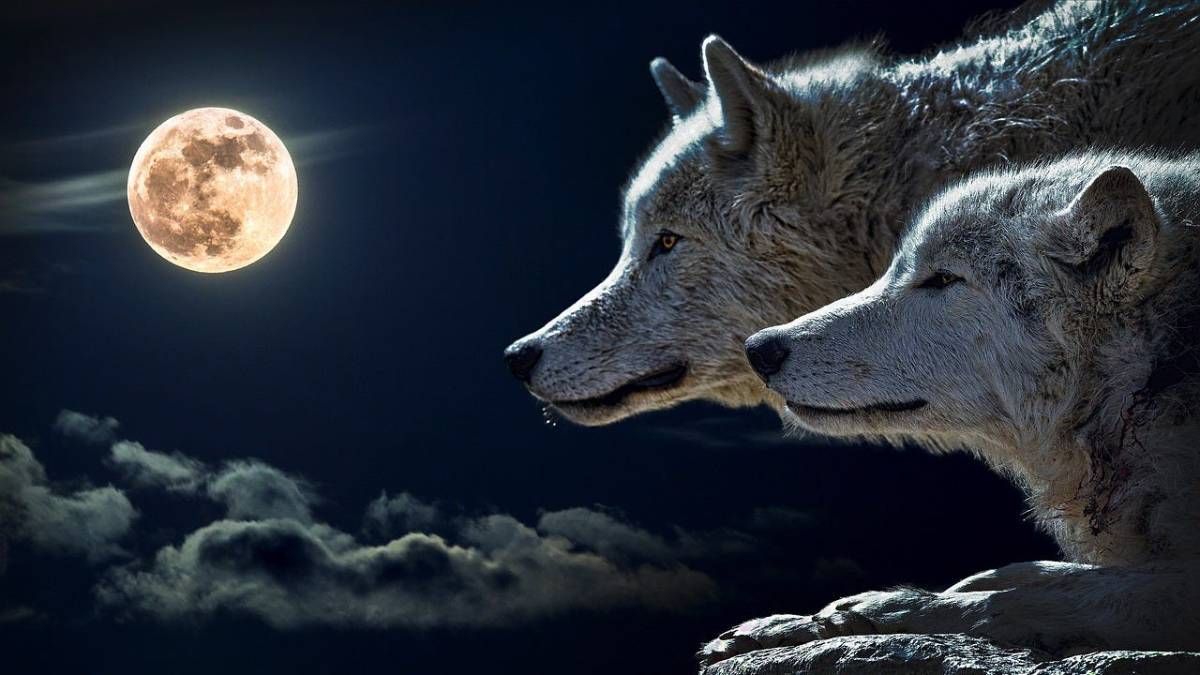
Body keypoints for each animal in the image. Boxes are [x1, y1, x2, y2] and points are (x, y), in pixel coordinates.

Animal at [700, 152, 1200, 665]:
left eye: (943, 279)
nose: (759, 348)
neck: (1147, 378)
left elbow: (1020, 599)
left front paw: (876, 610)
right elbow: (1030, 574)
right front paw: (788, 624)